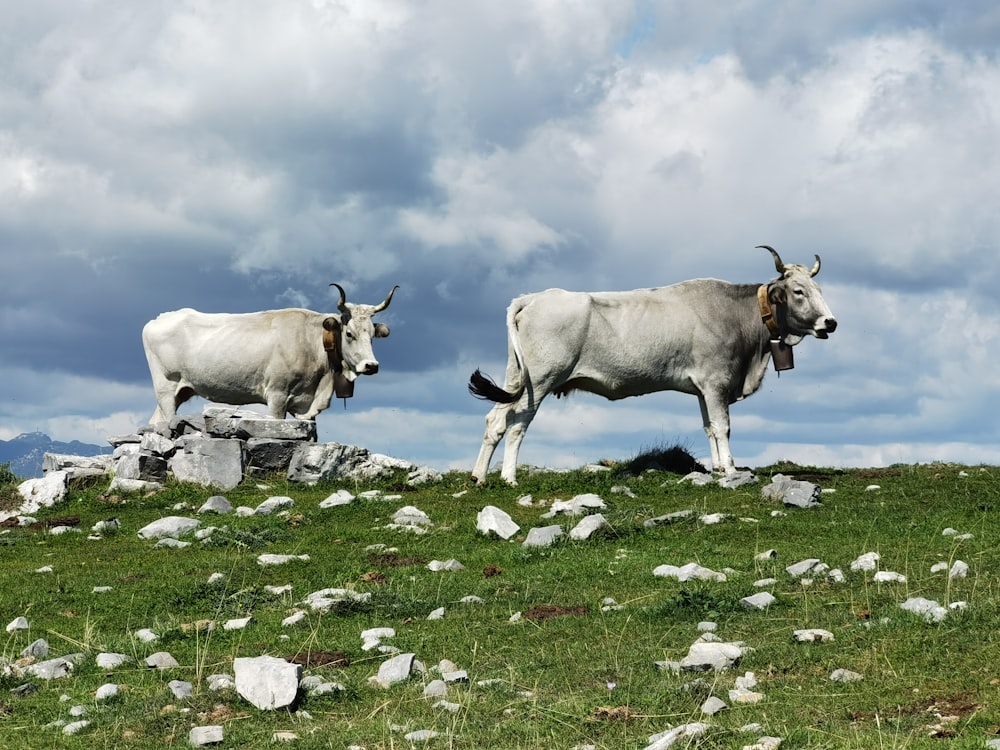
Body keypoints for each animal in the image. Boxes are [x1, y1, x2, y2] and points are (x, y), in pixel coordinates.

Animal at [142, 284, 398, 426]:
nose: (371, 365)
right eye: (349, 333)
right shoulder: (277, 394)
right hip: (166, 387)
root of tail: (159, 318)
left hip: (182, 390)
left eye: (372, 335)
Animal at [468, 247, 836, 488]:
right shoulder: (716, 381)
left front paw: (718, 468)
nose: (830, 323)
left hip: (516, 377)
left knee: (495, 420)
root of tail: (534, 297)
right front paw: (731, 471)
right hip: (540, 380)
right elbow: (723, 427)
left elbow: (708, 428)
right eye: (798, 291)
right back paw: (508, 478)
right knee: (516, 424)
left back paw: (479, 477)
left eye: (819, 289)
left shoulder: (703, 388)